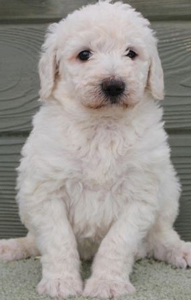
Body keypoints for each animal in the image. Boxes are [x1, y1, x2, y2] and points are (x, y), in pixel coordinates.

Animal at [0, 1, 191, 298]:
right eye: (84, 54)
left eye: (131, 53)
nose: (114, 85)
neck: (102, 126)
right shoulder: (46, 192)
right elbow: (58, 240)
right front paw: (61, 282)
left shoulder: (140, 194)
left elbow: (118, 241)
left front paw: (106, 283)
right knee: (35, 241)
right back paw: (13, 246)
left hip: (168, 191)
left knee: (161, 237)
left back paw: (180, 250)